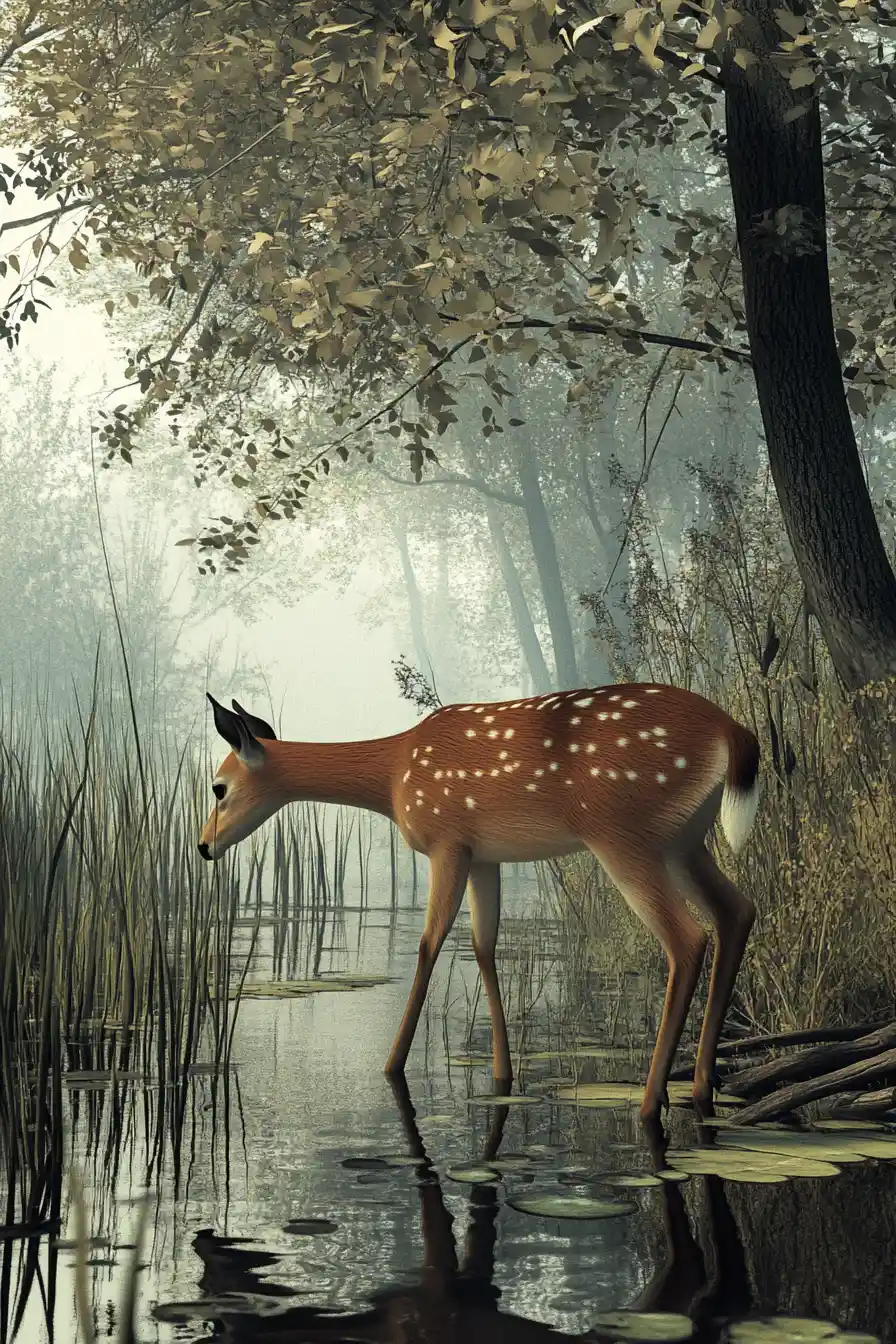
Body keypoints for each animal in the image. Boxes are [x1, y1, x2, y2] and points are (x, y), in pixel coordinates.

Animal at [198, 683, 760, 1122]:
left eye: (219, 787)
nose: (203, 847)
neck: (393, 774)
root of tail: (733, 731)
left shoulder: (446, 841)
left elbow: (429, 944)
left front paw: (392, 1065)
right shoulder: (485, 854)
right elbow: (483, 945)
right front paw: (502, 1074)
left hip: (623, 831)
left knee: (688, 937)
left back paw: (649, 1103)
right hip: (683, 838)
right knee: (738, 911)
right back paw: (702, 1088)